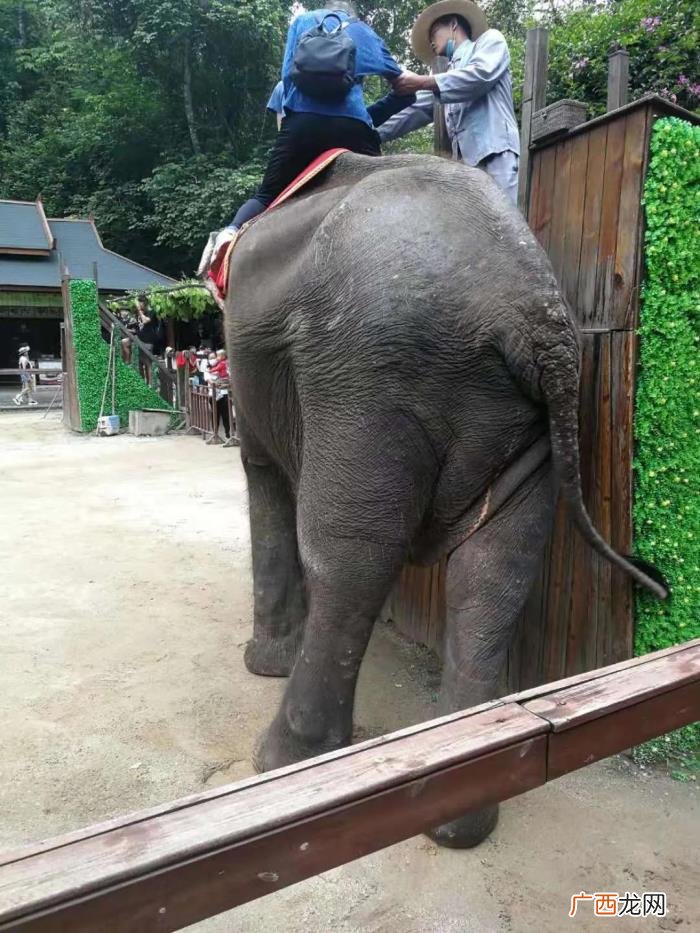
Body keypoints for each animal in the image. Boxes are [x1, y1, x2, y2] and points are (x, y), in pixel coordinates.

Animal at [224, 151, 667, 848]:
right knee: (495, 572)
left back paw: (283, 768)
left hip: (368, 375)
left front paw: (261, 665)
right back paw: (460, 817)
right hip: (524, 413)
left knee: (349, 558)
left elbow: (264, 478)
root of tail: (531, 307)